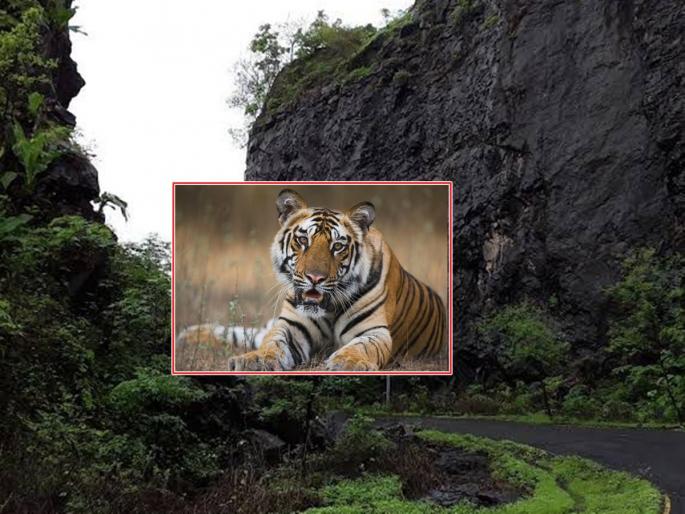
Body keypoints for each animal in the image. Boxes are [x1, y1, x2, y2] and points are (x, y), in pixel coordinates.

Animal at [177, 189, 448, 371]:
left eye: (337, 246)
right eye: (303, 240)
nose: (314, 278)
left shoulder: (374, 332)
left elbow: (360, 346)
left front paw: (347, 363)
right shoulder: (291, 325)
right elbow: (271, 343)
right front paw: (255, 360)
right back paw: (187, 336)